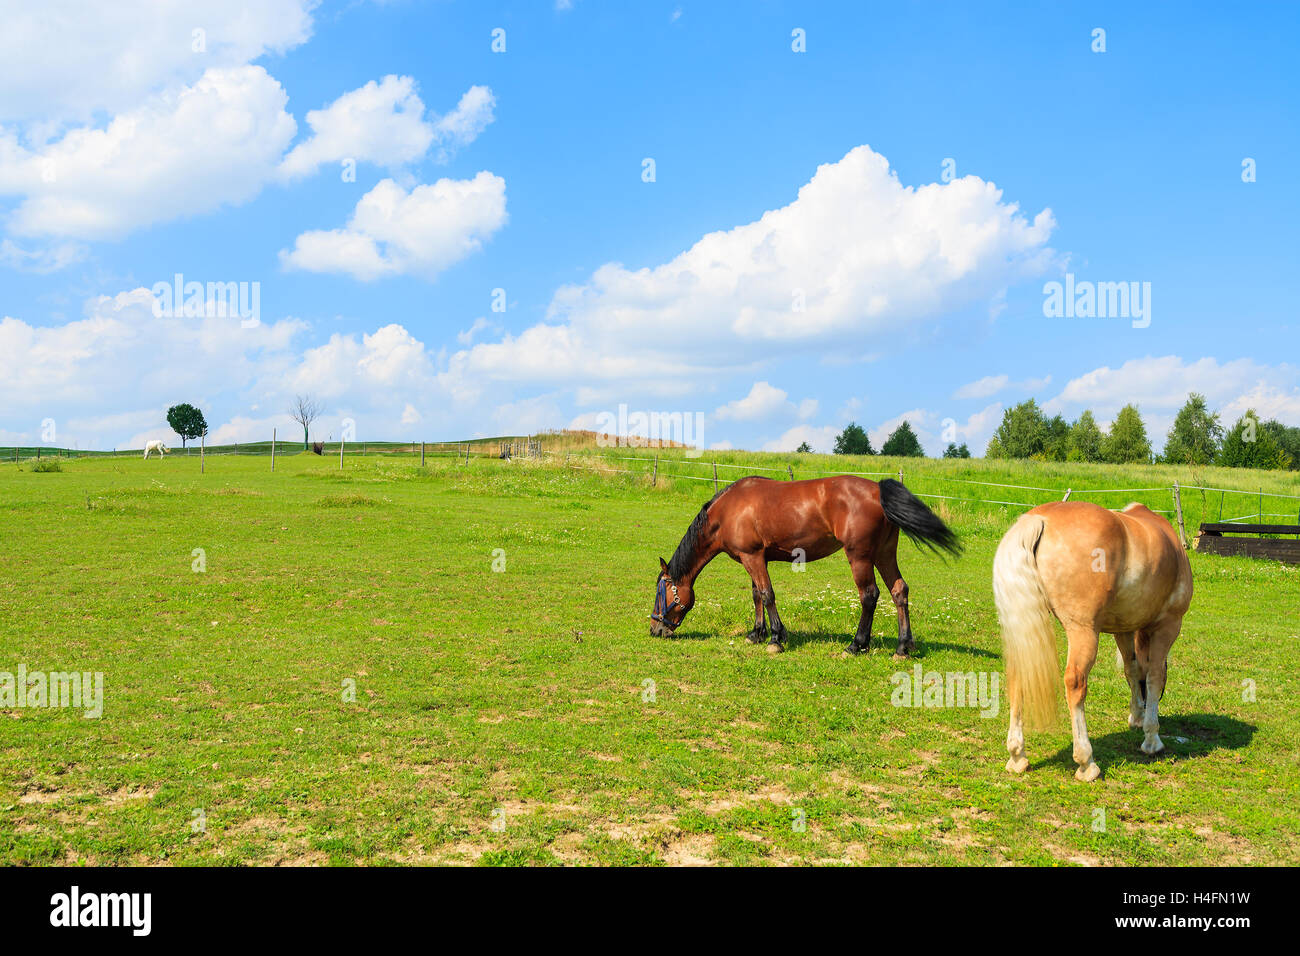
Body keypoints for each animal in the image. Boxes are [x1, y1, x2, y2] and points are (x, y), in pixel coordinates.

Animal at [650, 476, 961, 657]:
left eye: (660, 593)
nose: (655, 630)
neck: (729, 511)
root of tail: (877, 489)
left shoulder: (753, 558)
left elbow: (767, 595)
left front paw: (776, 638)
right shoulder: (756, 559)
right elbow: (756, 596)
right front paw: (756, 634)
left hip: (860, 556)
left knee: (869, 596)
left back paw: (856, 644)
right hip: (885, 554)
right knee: (899, 591)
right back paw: (903, 647)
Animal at [993, 501, 1192, 782]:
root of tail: (1038, 519)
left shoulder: (1124, 629)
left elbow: (1132, 670)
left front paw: (1137, 716)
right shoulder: (1168, 625)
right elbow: (1154, 676)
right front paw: (1152, 738)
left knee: (1019, 677)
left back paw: (1017, 755)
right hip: (1083, 632)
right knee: (1075, 683)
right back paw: (1086, 762)